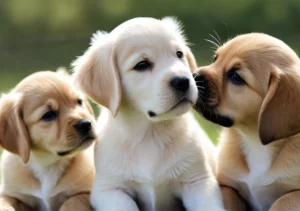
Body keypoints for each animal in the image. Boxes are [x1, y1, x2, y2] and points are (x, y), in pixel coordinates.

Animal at [0, 70, 96, 211]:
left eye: (79, 102)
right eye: (48, 115)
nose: (85, 124)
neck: (47, 164)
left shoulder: (86, 193)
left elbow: (71, 202)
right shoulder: (12, 194)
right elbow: (4, 202)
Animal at [72, 16, 223, 211]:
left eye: (179, 54)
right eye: (142, 65)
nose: (183, 81)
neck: (150, 134)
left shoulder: (198, 180)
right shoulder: (109, 189)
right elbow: (125, 206)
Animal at [193, 32, 300, 210]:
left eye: (236, 77)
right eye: (215, 58)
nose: (193, 76)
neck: (255, 142)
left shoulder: (295, 193)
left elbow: (282, 201)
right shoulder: (227, 186)